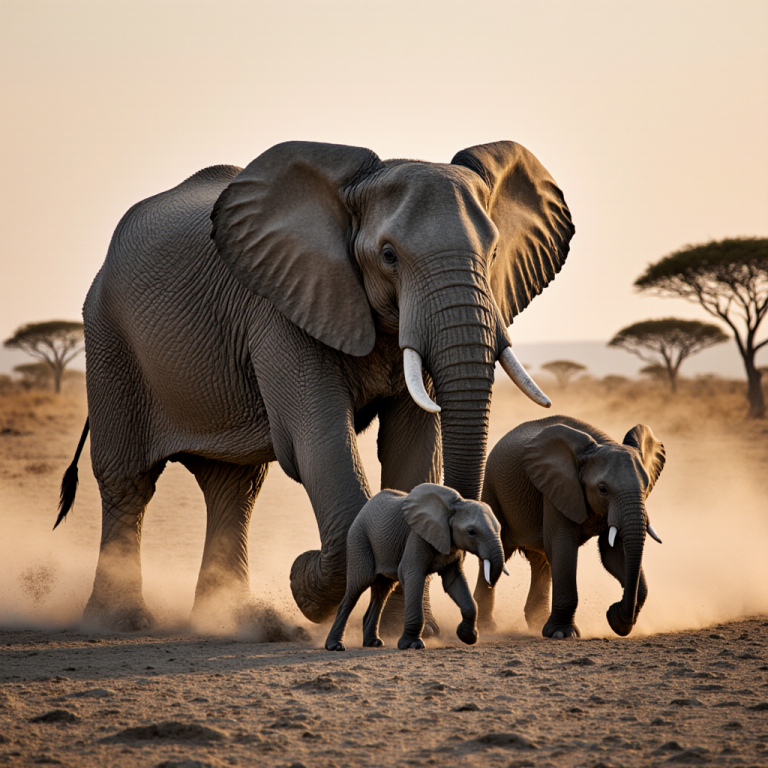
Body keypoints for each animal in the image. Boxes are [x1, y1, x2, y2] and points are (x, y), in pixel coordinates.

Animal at [55, 140, 574, 631]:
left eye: (493, 254)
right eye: (388, 256)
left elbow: (415, 443)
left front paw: (411, 629)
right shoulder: (281, 307)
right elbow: (318, 440)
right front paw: (301, 584)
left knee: (233, 486)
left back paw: (231, 621)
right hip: (108, 337)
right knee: (128, 481)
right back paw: (123, 622)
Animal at [325, 483, 506, 651]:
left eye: (500, 529)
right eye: (471, 532)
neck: (455, 505)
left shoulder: (450, 542)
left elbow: (454, 581)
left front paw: (468, 636)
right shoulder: (416, 536)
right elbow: (411, 574)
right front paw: (413, 645)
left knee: (382, 591)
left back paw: (373, 643)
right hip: (359, 539)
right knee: (357, 586)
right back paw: (335, 646)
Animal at [473, 416, 665, 638]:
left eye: (646, 486)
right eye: (602, 489)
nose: (615, 610)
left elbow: (613, 553)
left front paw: (615, 620)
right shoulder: (557, 490)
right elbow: (563, 546)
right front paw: (562, 634)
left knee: (542, 562)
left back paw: (537, 624)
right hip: (492, 491)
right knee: (497, 553)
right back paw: (486, 627)